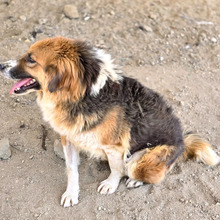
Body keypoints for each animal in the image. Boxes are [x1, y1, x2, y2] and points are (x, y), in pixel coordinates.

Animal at [0, 37, 219, 207]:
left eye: (31, 59)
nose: (1, 65)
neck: (81, 95)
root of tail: (182, 141)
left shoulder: (114, 147)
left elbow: (116, 169)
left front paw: (110, 185)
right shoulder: (68, 139)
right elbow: (72, 170)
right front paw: (71, 194)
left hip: (142, 161)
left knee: (148, 172)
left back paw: (135, 181)